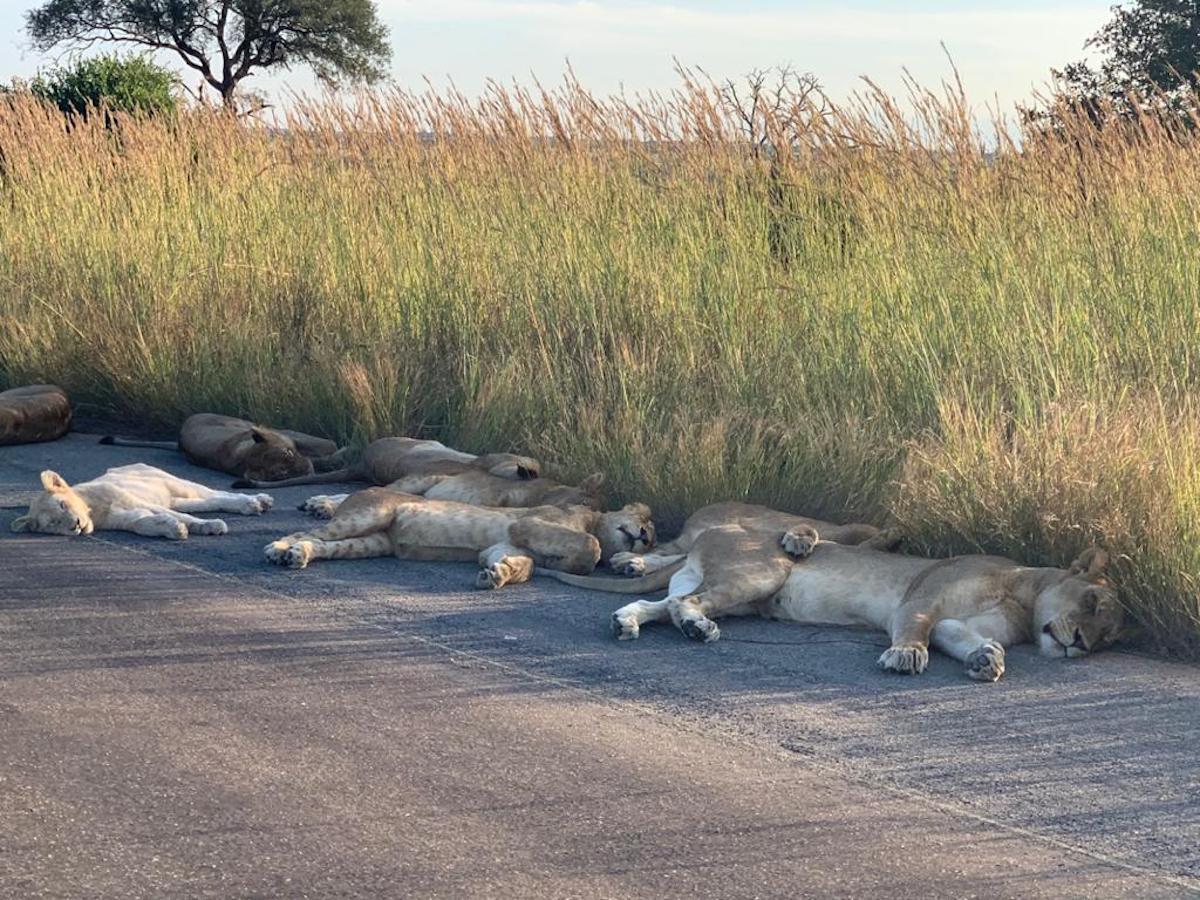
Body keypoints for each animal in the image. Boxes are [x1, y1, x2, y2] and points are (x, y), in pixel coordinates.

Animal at [265, 487, 657, 592]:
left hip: (372, 542)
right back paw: (278, 549)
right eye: (645, 522)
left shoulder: (501, 545)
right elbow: (591, 547)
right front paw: (579, 560)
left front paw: (497, 575)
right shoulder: (526, 524)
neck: (594, 519)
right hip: (370, 513)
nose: (643, 536)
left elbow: (524, 565)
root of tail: (359, 492)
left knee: (324, 545)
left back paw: (298, 555)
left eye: (652, 539)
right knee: (306, 531)